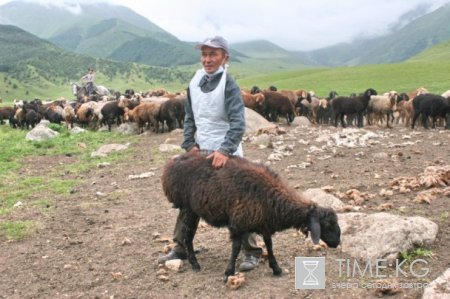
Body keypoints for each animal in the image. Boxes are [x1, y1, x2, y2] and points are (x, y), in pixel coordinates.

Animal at [160, 152, 340, 282]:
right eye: (327, 225)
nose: (337, 242)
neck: (272, 197)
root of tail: (172, 162)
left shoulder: (264, 222)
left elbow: (269, 245)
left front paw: (276, 268)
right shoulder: (238, 223)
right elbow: (236, 248)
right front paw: (228, 273)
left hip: (194, 210)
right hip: (188, 208)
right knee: (188, 236)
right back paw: (194, 263)